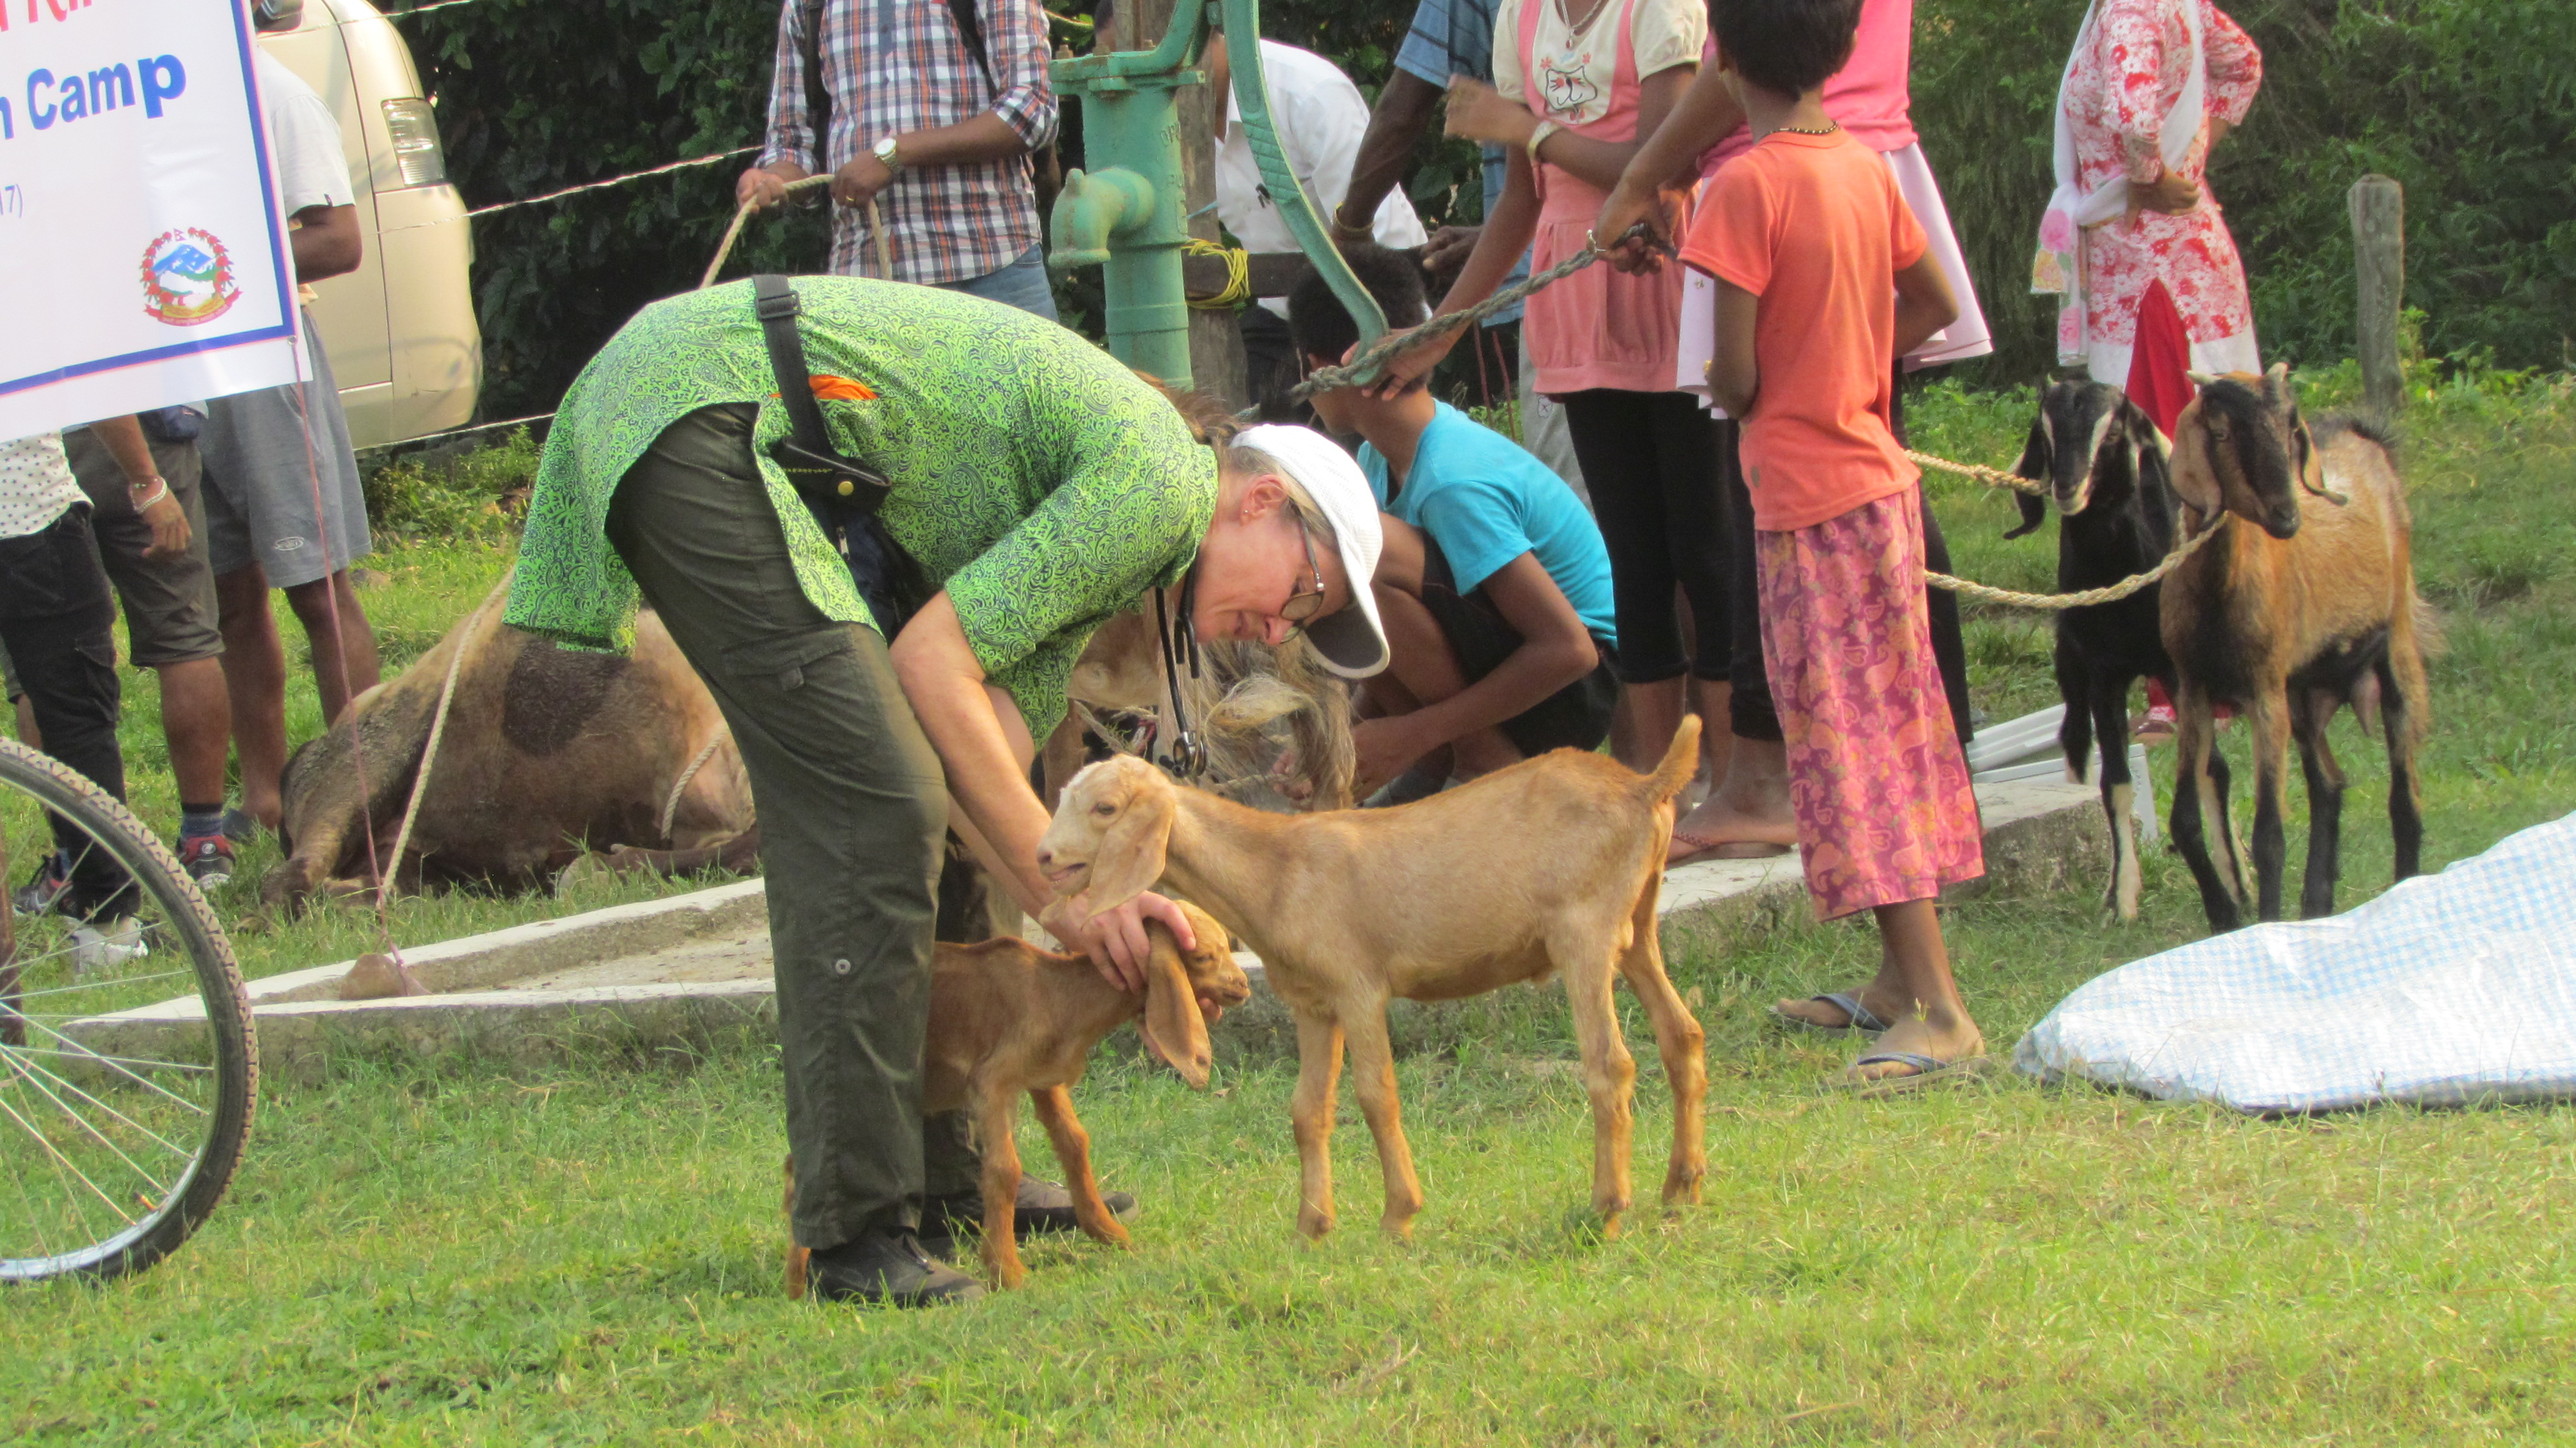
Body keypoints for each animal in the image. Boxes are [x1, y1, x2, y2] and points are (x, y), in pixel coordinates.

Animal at [783, 896, 1247, 1288]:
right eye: (1204, 956)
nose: (1243, 984)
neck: (1059, 993)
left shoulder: (1043, 1079)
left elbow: (1075, 1143)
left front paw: (1109, 1232)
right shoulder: (992, 1082)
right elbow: (1004, 1168)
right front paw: (1006, 1271)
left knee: (794, 1164)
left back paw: (796, 1281)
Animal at [1025, 716, 1710, 1237]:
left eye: (1106, 808)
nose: (1043, 856)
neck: (1277, 871)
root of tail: (1644, 786)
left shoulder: (1357, 989)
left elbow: (1376, 1095)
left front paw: (1397, 1218)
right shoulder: (1311, 1003)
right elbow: (1307, 1110)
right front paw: (1310, 1228)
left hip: (1584, 932)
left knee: (1611, 1064)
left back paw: (1606, 1208)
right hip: (1637, 923)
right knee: (1682, 1036)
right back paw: (1682, 1187)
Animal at [2009, 373, 2194, 912]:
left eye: (2111, 432)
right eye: (2046, 431)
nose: (2069, 487)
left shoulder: (2176, 670)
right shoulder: (2102, 674)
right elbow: (2114, 782)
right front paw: (2122, 894)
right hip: (2070, 668)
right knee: (2073, 736)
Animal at [2153, 361, 2432, 922]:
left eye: (2288, 427)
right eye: (2222, 432)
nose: (2287, 516)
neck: (2218, 596)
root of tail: (2368, 441)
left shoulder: (2264, 692)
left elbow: (2269, 835)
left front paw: (2264, 922)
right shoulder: (2193, 688)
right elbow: (2184, 821)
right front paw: (2224, 916)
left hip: (2394, 647)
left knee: (2404, 794)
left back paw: (2402, 886)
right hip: (2304, 693)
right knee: (2329, 785)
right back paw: (2317, 904)